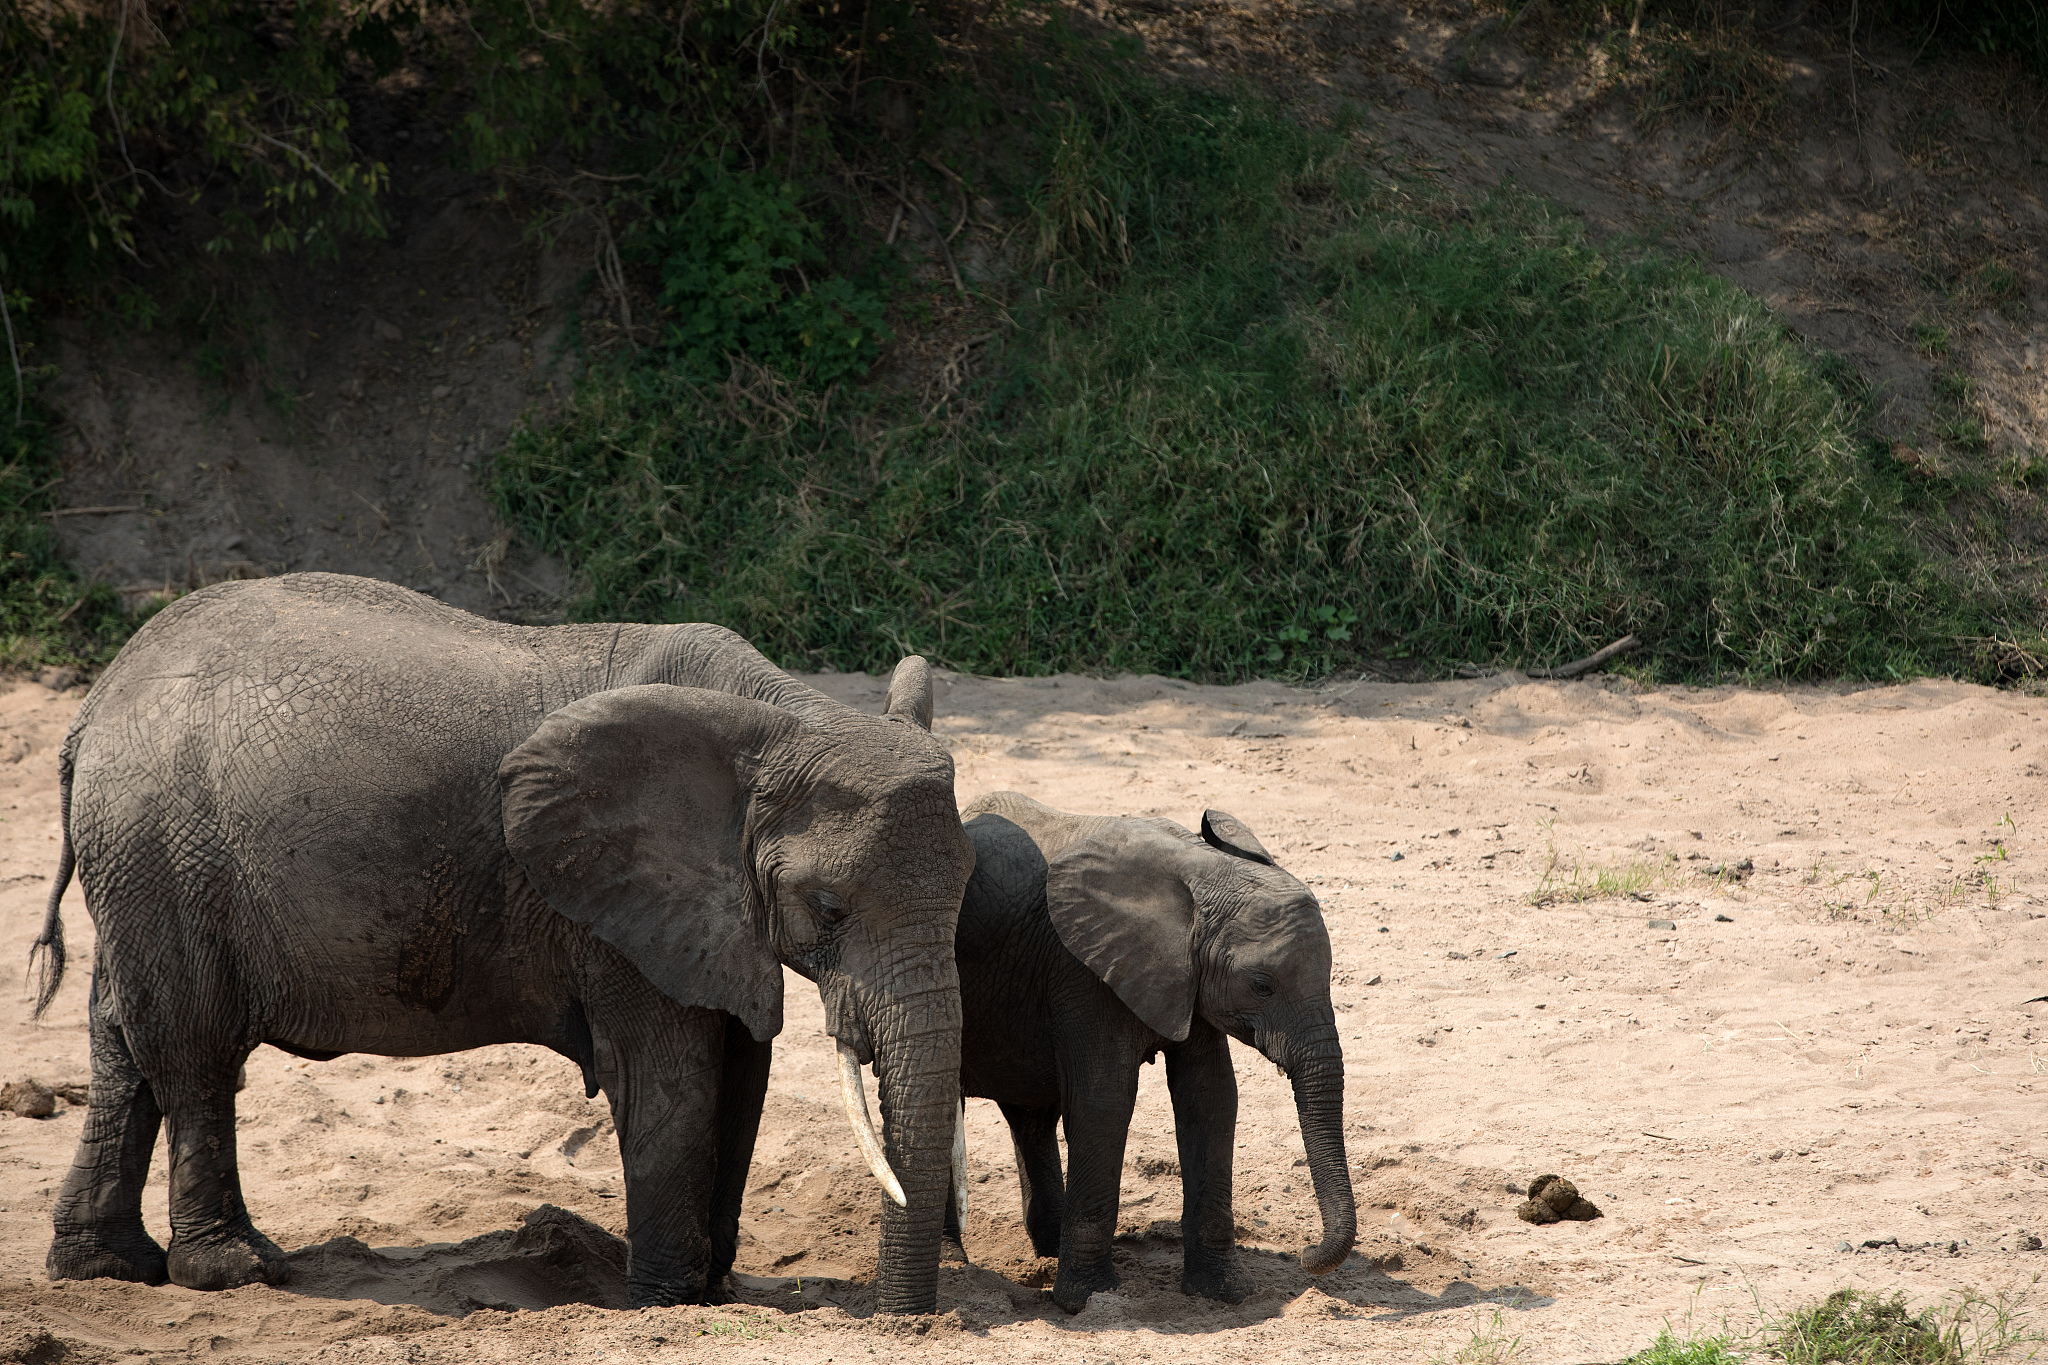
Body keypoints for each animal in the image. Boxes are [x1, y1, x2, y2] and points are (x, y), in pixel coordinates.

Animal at [26, 572, 974, 1313]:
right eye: (829, 907)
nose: (910, 1321)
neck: (780, 716)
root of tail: (90, 711)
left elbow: (742, 1076)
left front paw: (710, 1292)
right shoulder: (612, 905)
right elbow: (672, 1079)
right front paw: (665, 1302)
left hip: (143, 858)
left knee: (123, 1038)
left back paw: (106, 1266)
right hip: (165, 847)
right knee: (194, 1050)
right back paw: (233, 1269)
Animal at [942, 792, 1357, 1312]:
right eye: (1262, 985)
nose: (1306, 1254)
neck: (1204, 871)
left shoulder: (1187, 978)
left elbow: (1210, 1096)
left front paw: (1224, 1293)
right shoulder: (1082, 970)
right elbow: (1105, 1101)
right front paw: (1088, 1300)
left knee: (1031, 1116)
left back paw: (1049, 1250)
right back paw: (958, 1266)